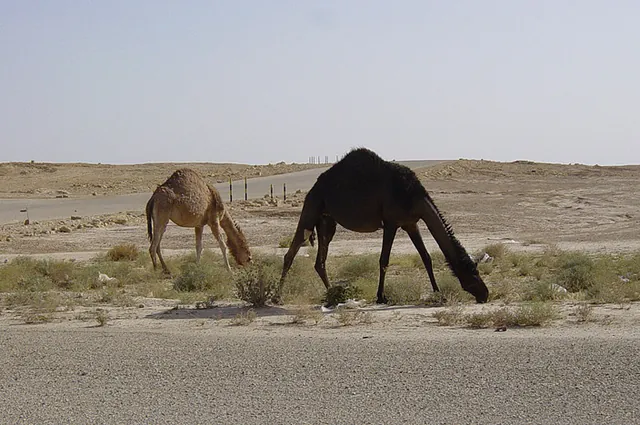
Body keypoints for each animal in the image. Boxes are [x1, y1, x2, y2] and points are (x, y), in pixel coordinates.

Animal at [278, 148, 489, 304]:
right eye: (473, 274)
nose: (485, 294)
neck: (413, 196)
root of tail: (314, 187)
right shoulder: (391, 223)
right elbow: (384, 260)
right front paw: (381, 297)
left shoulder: (410, 223)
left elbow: (426, 258)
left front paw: (438, 293)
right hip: (312, 207)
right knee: (293, 250)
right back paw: (277, 297)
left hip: (327, 220)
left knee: (319, 261)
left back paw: (334, 295)